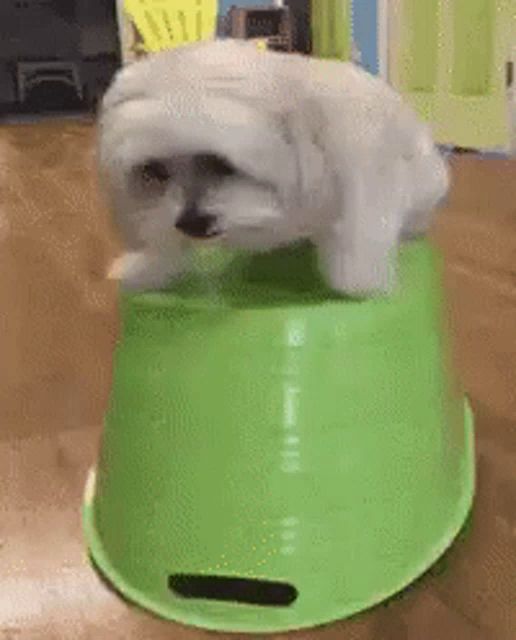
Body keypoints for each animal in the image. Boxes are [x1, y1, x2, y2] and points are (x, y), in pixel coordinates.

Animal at [99, 41, 450, 296]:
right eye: (155, 171)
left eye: (221, 163)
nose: (191, 223)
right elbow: (160, 238)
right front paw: (145, 269)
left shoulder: (363, 166)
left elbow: (361, 239)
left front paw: (358, 283)